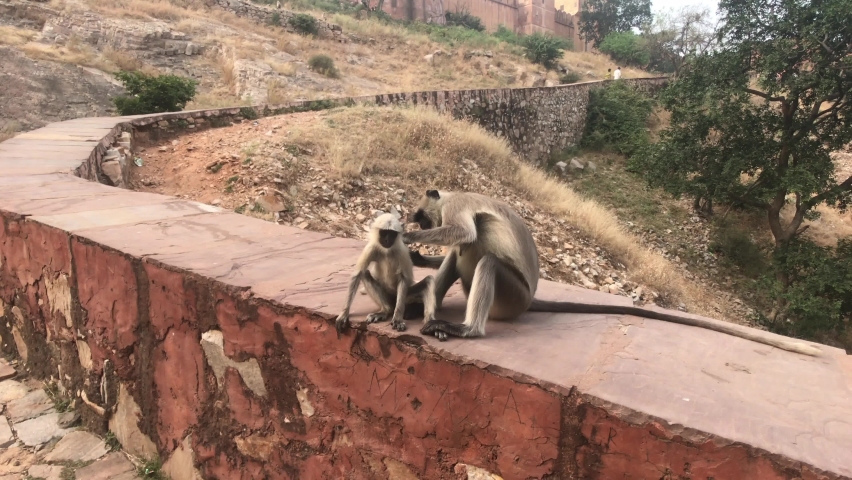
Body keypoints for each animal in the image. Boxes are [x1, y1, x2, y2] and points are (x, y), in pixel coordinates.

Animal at [402, 190, 822, 357]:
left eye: (421, 215)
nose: (417, 222)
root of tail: (531, 297)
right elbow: (457, 244)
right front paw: (419, 257)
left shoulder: (457, 204)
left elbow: (465, 232)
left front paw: (408, 238)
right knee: (462, 255)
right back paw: (423, 310)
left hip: (513, 297)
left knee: (481, 256)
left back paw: (467, 329)